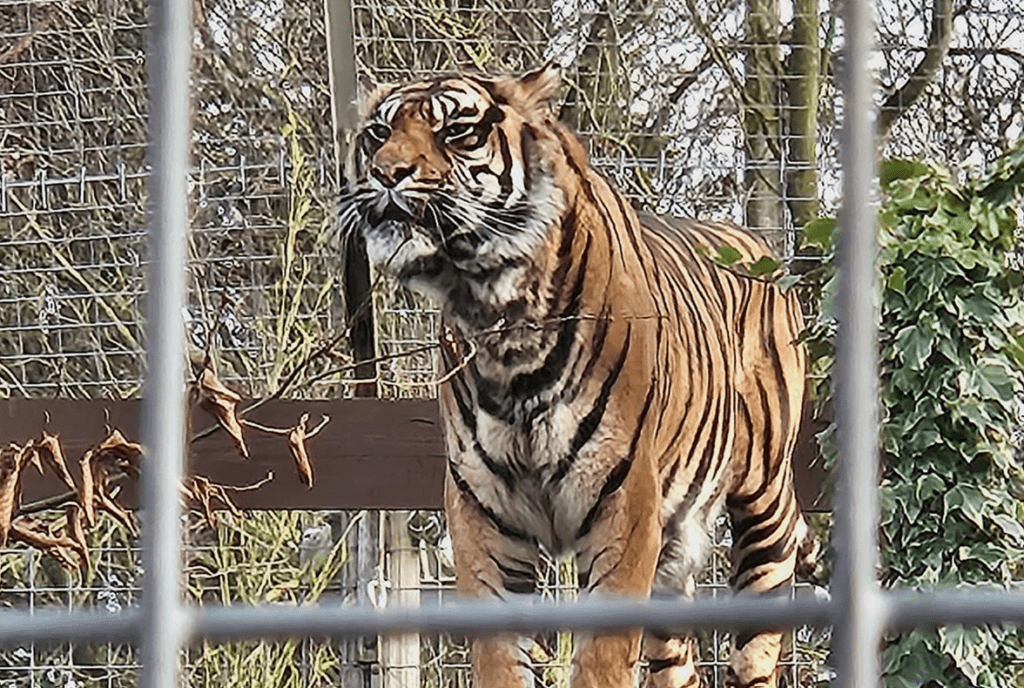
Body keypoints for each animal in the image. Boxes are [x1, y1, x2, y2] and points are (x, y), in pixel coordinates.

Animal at [342, 64, 815, 688]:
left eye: (458, 130)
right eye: (378, 132)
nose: (385, 173)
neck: (501, 321)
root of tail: (761, 248)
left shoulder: (624, 506)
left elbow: (601, 661)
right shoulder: (482, 513)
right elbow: (500, 658)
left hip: (764, 506)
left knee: (756, 646)